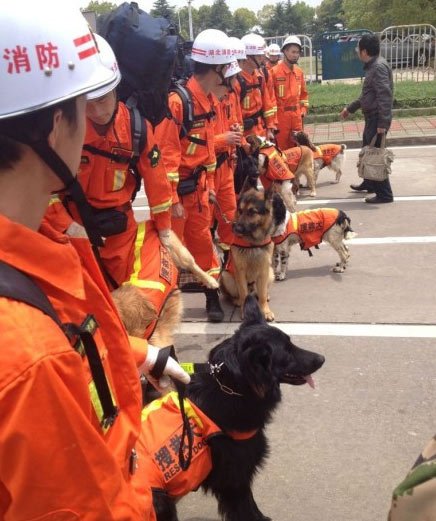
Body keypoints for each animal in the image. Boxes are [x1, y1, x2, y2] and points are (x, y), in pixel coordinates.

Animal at [143, 296, 324, 520]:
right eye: (288, 352)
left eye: (291, 343)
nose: (322, 359)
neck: (231, 388)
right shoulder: (234, 481)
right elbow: (248, 510)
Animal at [221, 185, 282, 318]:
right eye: (240, 210)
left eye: (252, 212)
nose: (236, 228)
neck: (253, 243)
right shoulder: (240, 272)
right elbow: (244, 294)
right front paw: (245, 310)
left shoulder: (264, 271)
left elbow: (262, 295)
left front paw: (265, 311)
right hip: (226, 277)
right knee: (234, 296)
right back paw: (238, 301)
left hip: (270, 273)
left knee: (260, 292)